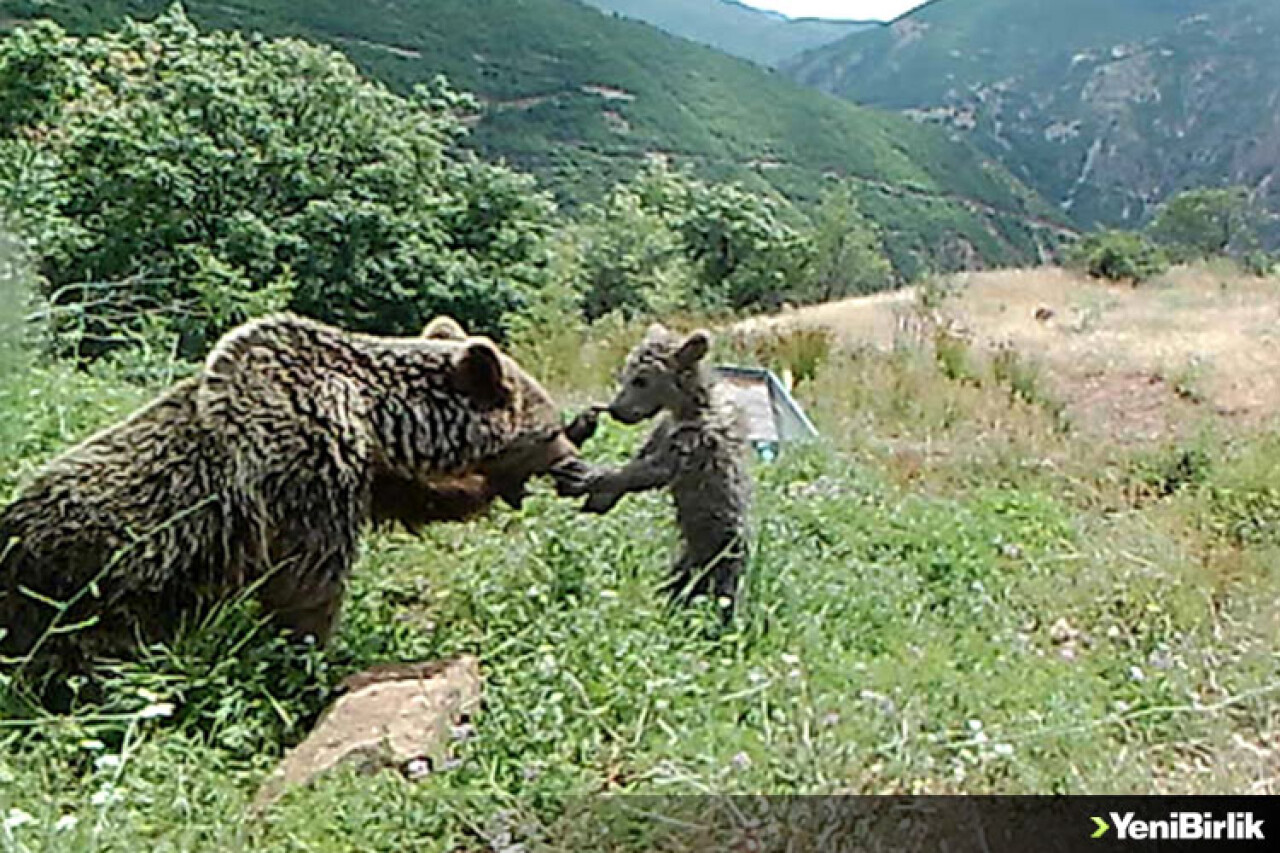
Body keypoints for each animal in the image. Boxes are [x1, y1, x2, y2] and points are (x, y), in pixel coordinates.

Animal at [0, 308, 576, 676]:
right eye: (551, 429)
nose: (573, 457)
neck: (374, 415)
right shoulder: (306, 465)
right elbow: (308, 581)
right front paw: (314, 656)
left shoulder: (368, 470)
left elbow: (412, 498)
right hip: (91, 584)